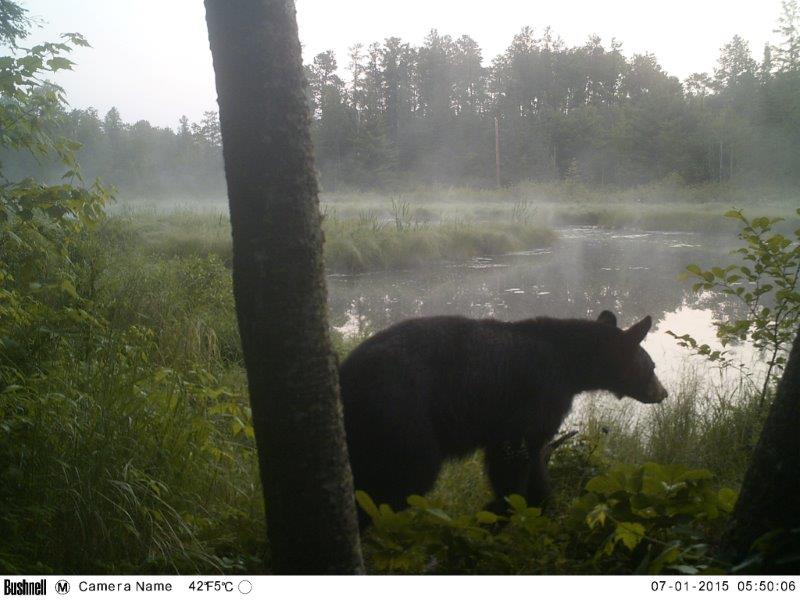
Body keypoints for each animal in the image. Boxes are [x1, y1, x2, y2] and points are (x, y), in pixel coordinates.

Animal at [338, 310, 668, 522]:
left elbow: (535, 457)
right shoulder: (536, 394)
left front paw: (543, 504)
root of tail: (344, 372)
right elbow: (512, 457)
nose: (663, 393)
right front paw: (505, 508)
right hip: (400, 413)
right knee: (402, 475)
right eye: (651, 366)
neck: (570, 364)